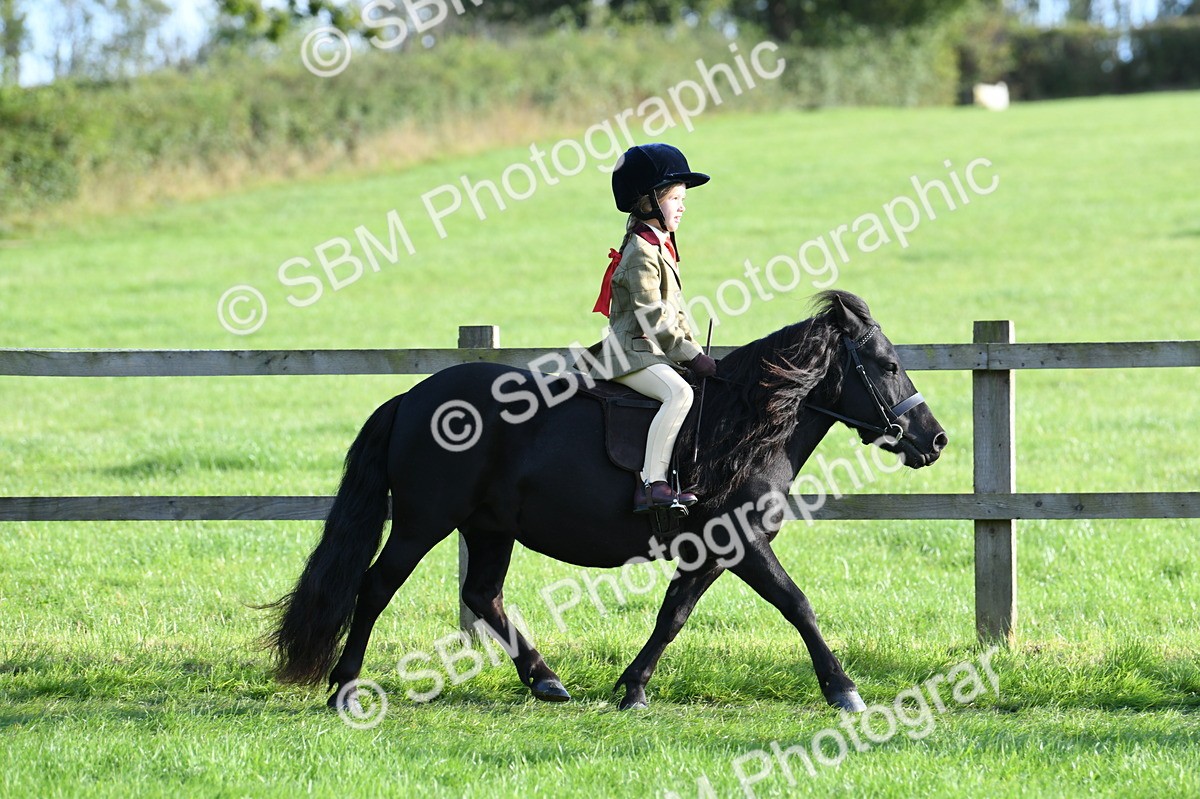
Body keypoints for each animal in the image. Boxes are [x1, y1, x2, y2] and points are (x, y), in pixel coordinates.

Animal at [264, 290, 947, 713]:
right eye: (886, 364)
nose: (935, 439)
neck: (745, 424)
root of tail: (411, 398)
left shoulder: (711, 552)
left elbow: (672, 616)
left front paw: (634, 688)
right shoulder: (743, 543)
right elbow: (798, 605)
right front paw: (843, 690)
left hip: (489, 527)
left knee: (482, 594)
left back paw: (545, 680)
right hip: (421, 523)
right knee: (376, 588)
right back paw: (344, 688)